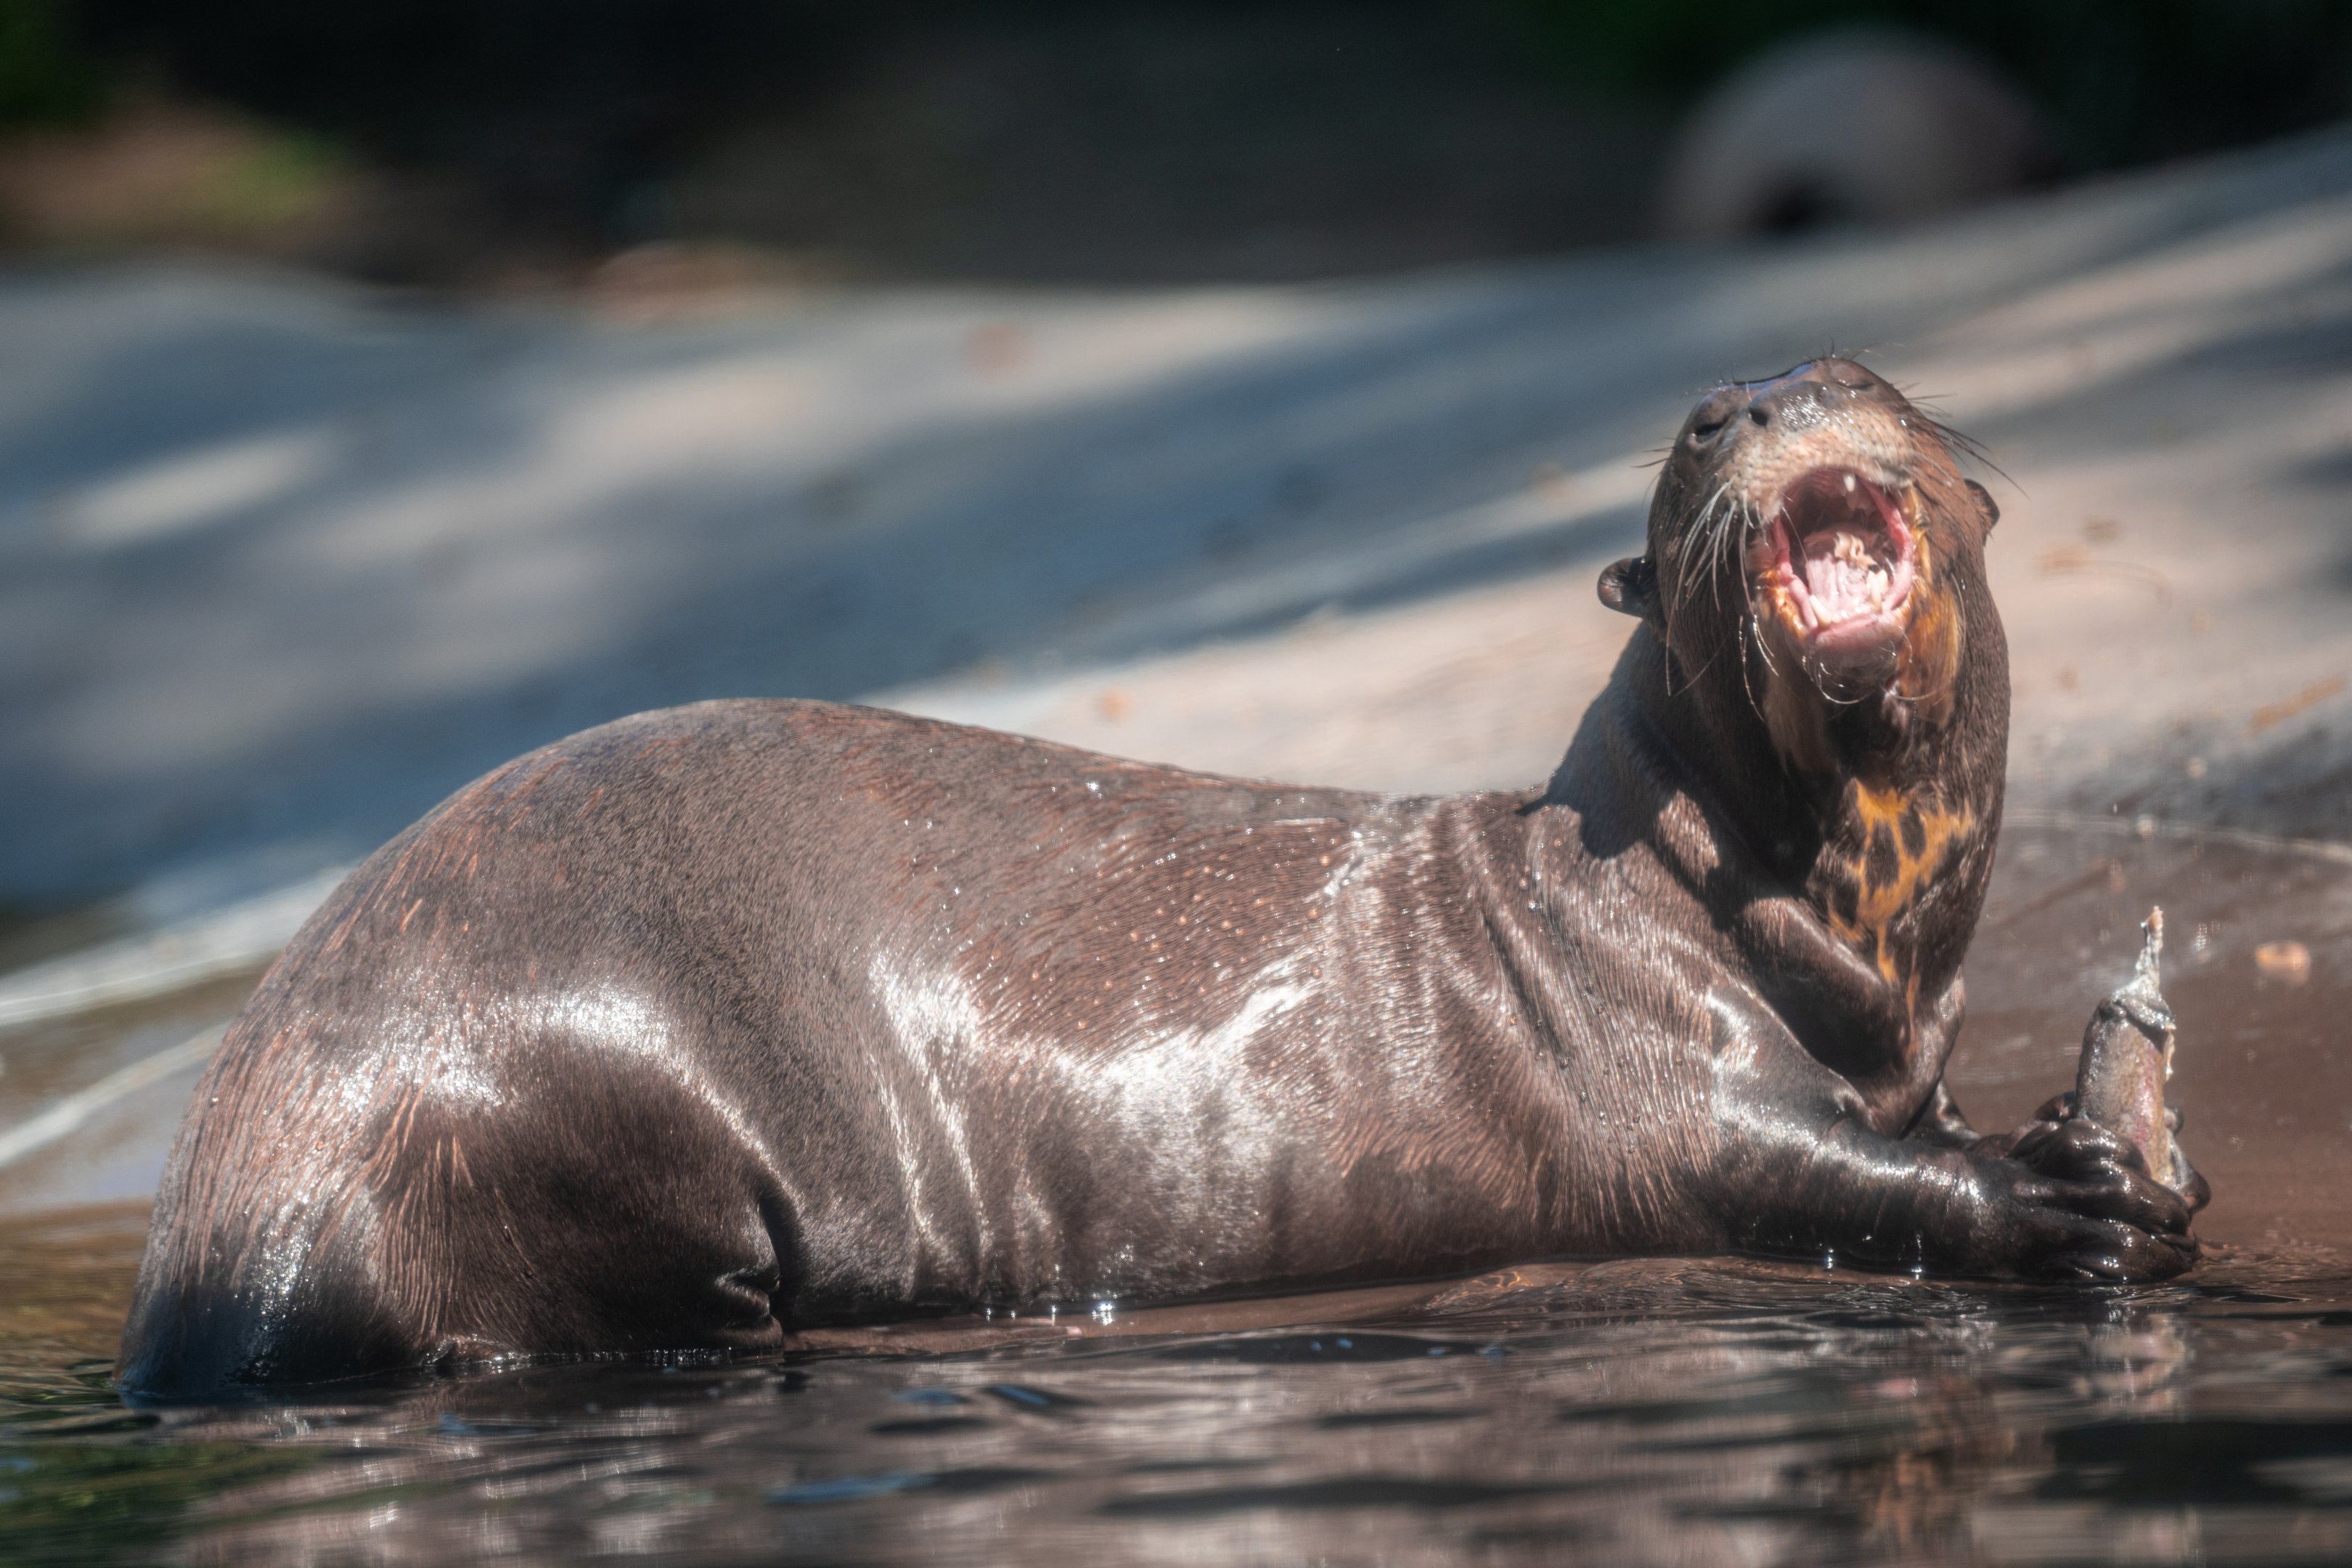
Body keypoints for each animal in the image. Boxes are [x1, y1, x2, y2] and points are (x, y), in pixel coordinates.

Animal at [118, 359, 2205, 1397]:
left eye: (1866, 376)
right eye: (1687, 446)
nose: (1754, 406)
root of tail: (209, 1233)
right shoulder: (1634, 1052)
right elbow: (1788, 1166)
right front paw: (2058, 1194)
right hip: (558, 1092)